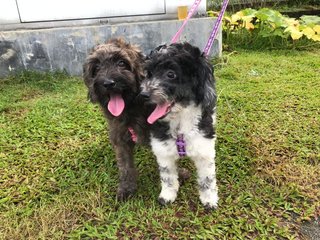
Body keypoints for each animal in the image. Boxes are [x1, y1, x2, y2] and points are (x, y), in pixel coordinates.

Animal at [141, 43, 219, 210]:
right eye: (148, 74)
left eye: (171, 74)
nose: (143, 94)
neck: (180, 122)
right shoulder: (163, 150)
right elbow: (168, 176)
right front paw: (167, 196)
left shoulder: (204, 149)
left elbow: (207, 178)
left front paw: (209, 200)